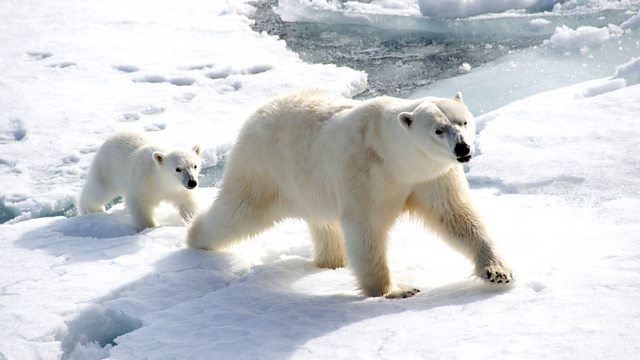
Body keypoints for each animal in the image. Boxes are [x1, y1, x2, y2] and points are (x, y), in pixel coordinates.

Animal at [188, 90, 512, 298]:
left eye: (464, 121)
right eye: (438, 130)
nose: (463, 148)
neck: (394, 157)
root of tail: (258, 111)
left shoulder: (432, 176)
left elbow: (456, 216)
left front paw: (498, 272)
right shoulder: (363, 171)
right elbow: (366, 228)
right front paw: (396, 290)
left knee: (324, 225)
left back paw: (332, 262)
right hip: (264, 168)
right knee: (237, 212)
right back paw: (194, 237)